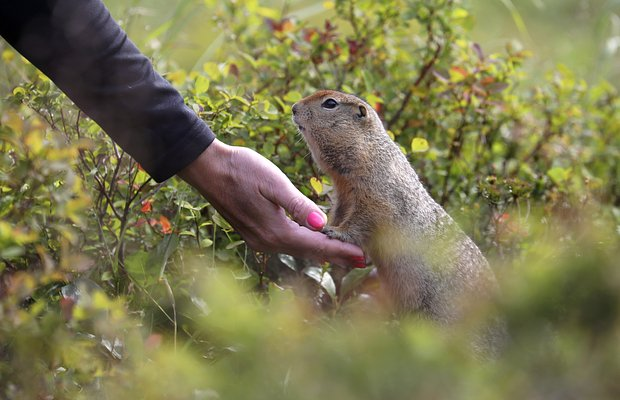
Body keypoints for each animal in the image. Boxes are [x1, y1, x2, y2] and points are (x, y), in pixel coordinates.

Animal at [294, 90, 502, 328]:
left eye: (330, 103)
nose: (293, 107)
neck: (370, 152)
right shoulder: (343, 197)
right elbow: (339, 213)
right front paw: (326, 223)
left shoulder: (376, 198)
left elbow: (361, 220)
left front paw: (335, 231)